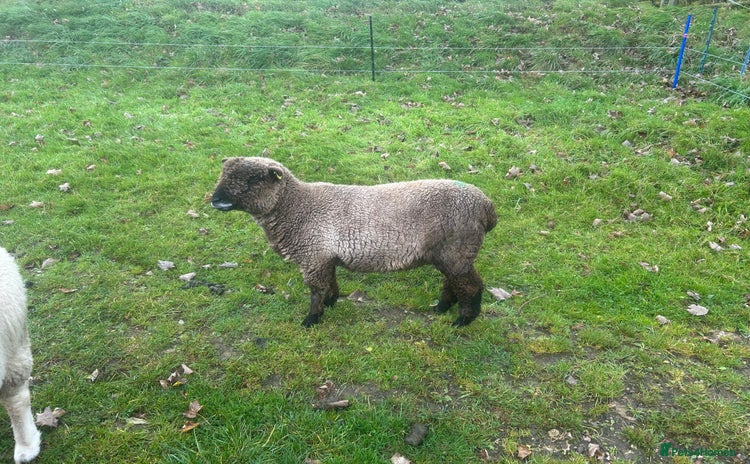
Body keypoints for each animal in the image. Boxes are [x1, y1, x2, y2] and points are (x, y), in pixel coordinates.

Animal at [211, 157, 497, 328]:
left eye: (254, 179)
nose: (215, 199)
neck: (297, 207)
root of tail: (487, 206)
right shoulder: (324, 256)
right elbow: (330, 282)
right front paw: (331, 302)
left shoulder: (313, 256)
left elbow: (315, 289)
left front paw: (312, 318)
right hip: (452, 252)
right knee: (455, 282)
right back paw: (442, 307)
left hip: (457, 248)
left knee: (471, 285)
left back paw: (463, 319)